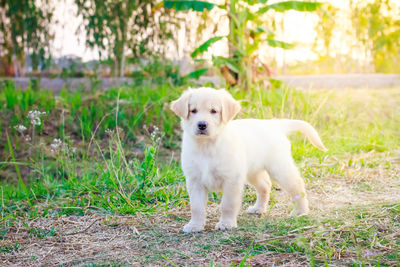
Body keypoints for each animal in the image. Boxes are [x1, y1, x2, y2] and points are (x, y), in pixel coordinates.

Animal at [170, 87, 324, 232]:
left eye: (213, 111)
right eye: (193, 111)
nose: (202, 124)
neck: (206, 146)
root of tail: (275, 125)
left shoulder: (231, 179)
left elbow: (227, 204)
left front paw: (226, 223)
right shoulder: (195, 181)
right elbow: (197, 207)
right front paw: (195, 225)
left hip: (279, 168)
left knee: (297, 185)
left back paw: (300, 211)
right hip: (253, 172)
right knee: (265, 185)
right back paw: (258, 209)